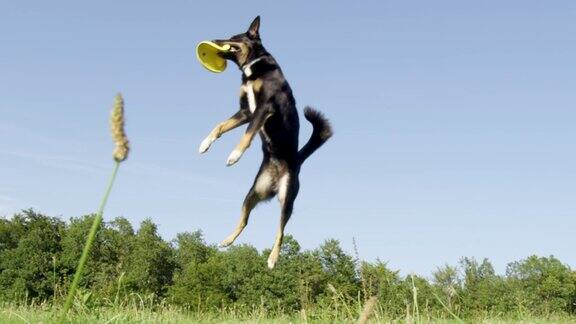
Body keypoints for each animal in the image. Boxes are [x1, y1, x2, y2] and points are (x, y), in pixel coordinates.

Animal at [199, 15, 330, 268]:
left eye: (233, 37)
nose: (214, 40)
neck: (254, 67)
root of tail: (294, 161)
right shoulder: (245, 111)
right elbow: (220, 126)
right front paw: (204, 144)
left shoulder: (264, 108)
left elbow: (248, 134)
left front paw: (234, 155)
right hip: (253, 193)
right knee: (244, 220)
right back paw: (227, 240)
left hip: (287, 199)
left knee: (281, 231)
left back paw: (272, 258)